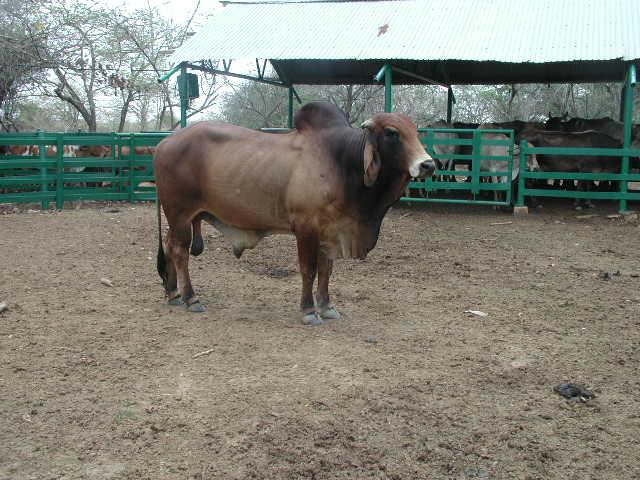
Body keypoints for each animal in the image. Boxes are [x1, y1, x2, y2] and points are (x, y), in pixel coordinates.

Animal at [154, 101, 436, 326]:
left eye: (416, 131)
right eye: (392, 132)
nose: (428, 164)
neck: (342, 162)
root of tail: (164, 143)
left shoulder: (329, 231)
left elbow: (326, 270)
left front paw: (327, 306)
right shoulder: (305, 228)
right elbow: (308, 270)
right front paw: (309, 311)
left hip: (181, 218)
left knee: (169, 246)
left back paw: (172, 293)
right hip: (180, 214)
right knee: (180, 252)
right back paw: (191, 298)